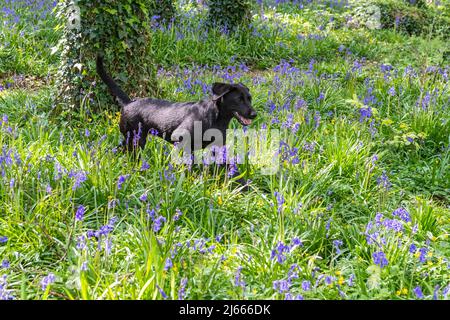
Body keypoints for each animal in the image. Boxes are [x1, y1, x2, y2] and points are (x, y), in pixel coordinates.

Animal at [96, 55, 256, 184]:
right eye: (239, 99)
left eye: (249, 98)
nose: (254, 114)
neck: (216, 117)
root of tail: (129, 103)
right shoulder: (182, 142)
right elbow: (187, 166)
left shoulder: (217, 147)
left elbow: (230, 167)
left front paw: (245, 186)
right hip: (136, 140)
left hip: (130, 139)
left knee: (118, 149)